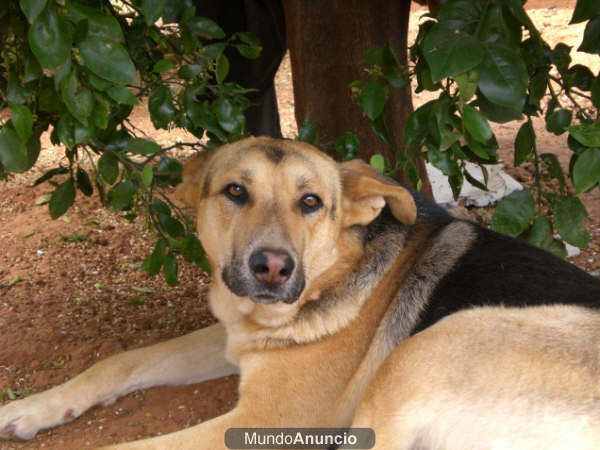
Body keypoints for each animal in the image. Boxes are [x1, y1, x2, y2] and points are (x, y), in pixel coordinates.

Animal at [1, 135, 600, 448]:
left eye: (311, 202)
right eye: (234, 192)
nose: (271, 267)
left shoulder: (260, 419)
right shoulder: (234, 340)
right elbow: (118, 362)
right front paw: (33, 407)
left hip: (420, 357)